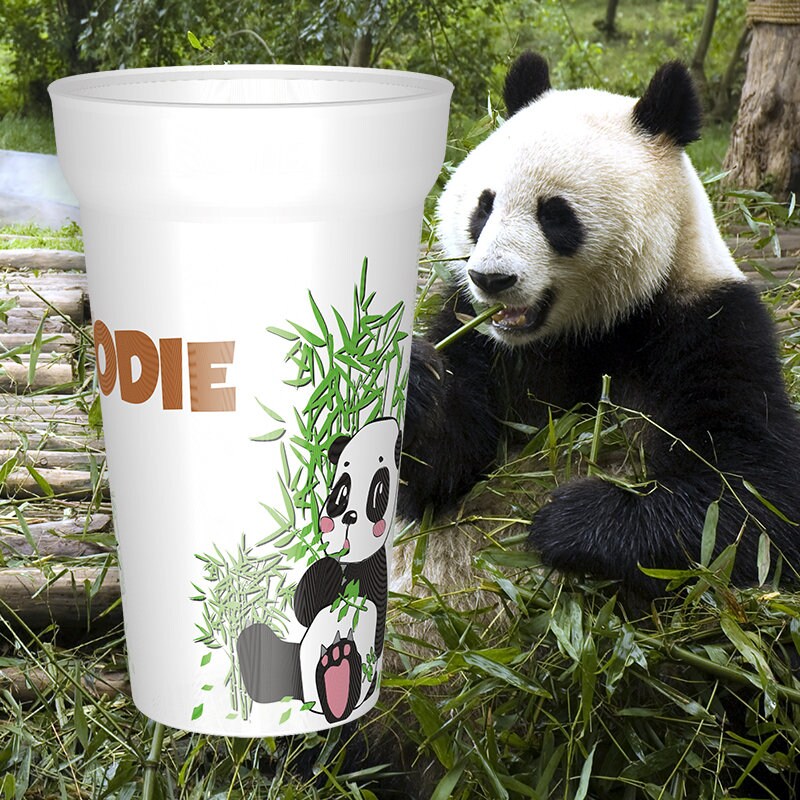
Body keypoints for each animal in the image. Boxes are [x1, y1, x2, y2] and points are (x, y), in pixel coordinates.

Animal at [238, 416, 401, 724]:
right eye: (342, 492)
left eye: (379, 492)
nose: (349, 517)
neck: (349, 561)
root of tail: (311, 703)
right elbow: (305, 605)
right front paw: (328, 569)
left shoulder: (375, 571)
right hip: (294, 664)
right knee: (256, 642)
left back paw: (340, 669)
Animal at [397, 51, 800, 598]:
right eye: (485, 204)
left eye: (555, 214)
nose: (492, 278)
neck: (579, 331)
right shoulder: (476, 333)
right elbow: (434, 470)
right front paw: (411, 378)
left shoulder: (710, 323)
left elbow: (752, 501)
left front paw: (564, 520)